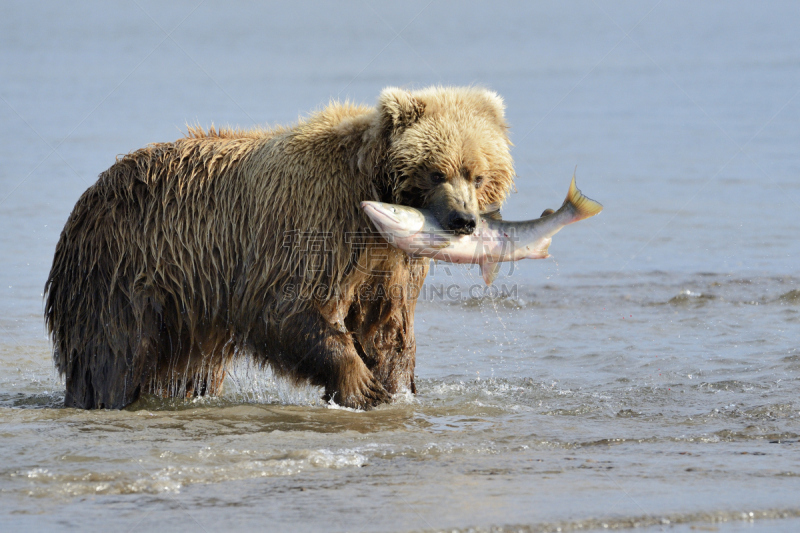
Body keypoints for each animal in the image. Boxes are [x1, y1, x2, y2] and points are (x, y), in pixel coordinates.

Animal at [43, 86, 516, 408]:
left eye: (477, 174)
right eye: (437, 171)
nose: (463, 220)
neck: (371, 197)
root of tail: (88, 197)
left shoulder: (388, 261)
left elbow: (386, 323)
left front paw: (393, 385)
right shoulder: (312, 224)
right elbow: (285, 306)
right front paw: (359, 383)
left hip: (185, 304)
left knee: (190, 368)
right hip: (124, 270)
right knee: (112, 351)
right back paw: (106, 396)